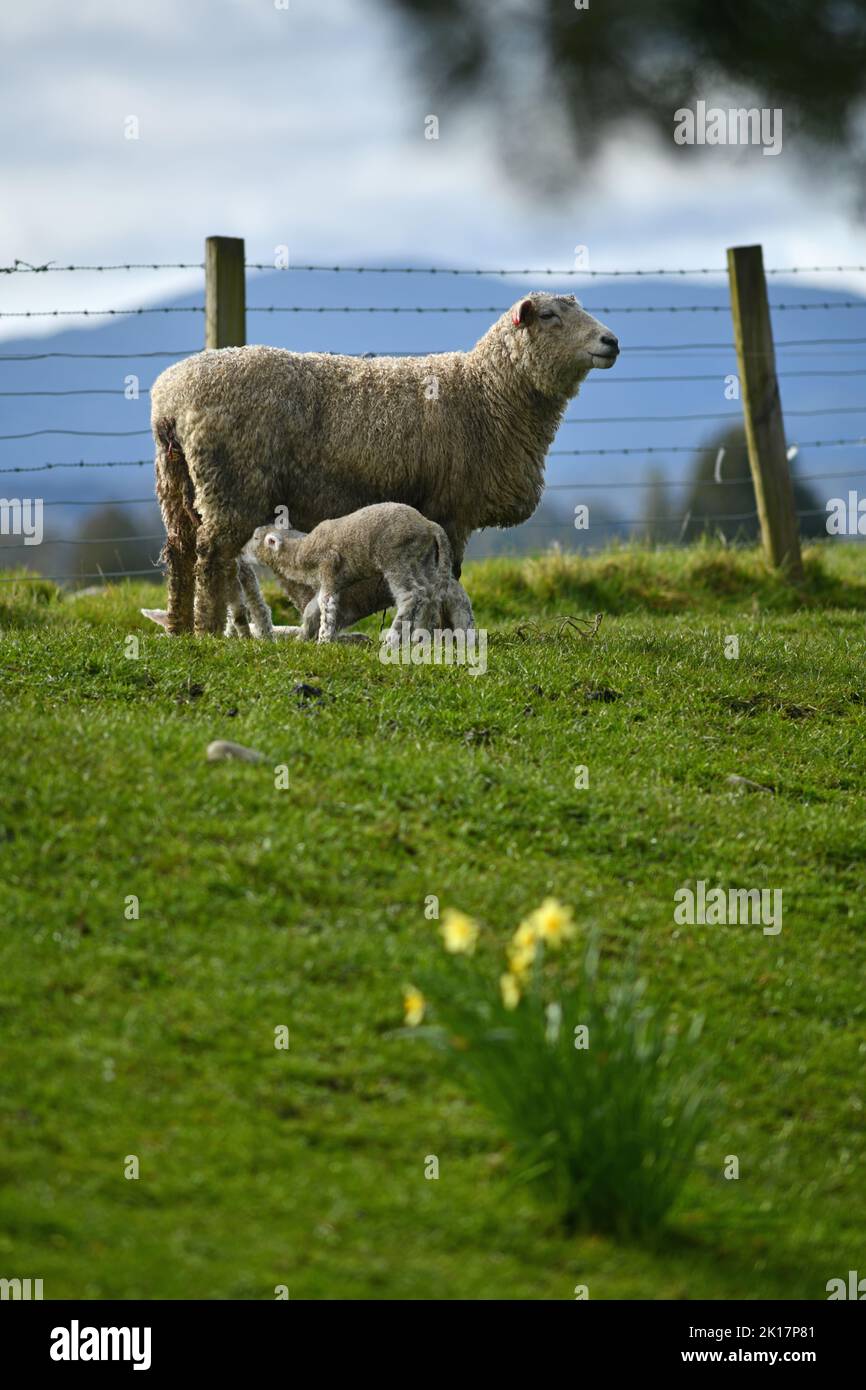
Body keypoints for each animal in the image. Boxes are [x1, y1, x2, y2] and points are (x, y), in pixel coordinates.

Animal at [244, 503, 475, 642]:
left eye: (255, 538)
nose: (240, 552)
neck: (301, 551)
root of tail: (430, 525)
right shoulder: (330, 581)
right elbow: (313, 607)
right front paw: (303, 638)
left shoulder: (328, 567)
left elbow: (327, 607)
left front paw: (323, 640)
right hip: (423, 561)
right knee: (432, 595)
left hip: (397, 557)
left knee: (412, 595)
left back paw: (393, 639)